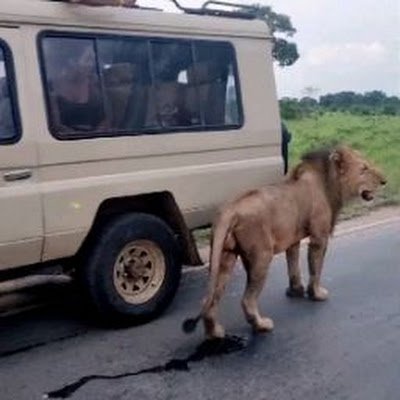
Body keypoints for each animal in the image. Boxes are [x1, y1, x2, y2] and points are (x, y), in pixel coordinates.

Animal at [183, 144, 386, 338]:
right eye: (364, 169)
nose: (384, 181)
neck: (329, 182)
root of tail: (228, 210)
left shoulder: (293, 239)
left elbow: (293, 265)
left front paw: (296, 291)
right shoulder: (319, 237)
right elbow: (316, 268)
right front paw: (316, 294)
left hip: (225, 257)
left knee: (209, 299)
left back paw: (215, 332)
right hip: (261, 256)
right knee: (247, 300)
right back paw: (261, 325)